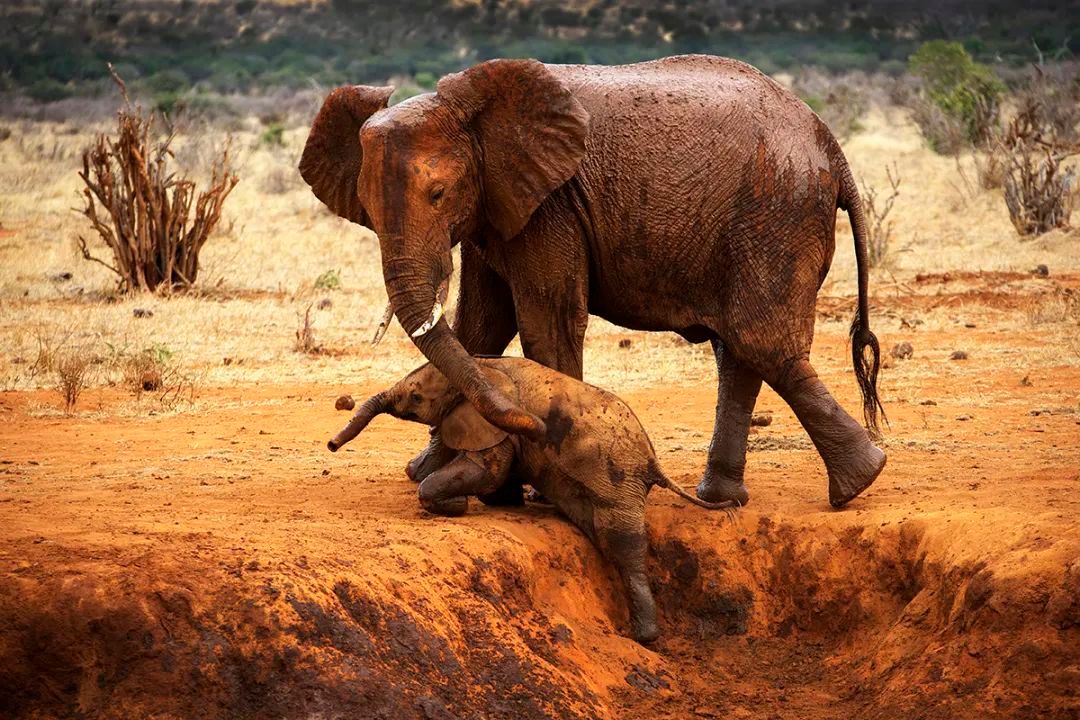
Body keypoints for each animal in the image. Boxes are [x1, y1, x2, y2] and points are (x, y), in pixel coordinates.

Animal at [298, 55, 885, 507]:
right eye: (366, 209)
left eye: (438, 195)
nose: (331, 446)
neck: (476, 110)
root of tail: (830, 144)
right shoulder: (496, 204)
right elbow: (481, 328)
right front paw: (425, 471)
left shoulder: (550, 206)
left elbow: (545, 326)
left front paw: (538, 479)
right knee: (740, 352)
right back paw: (726, 499)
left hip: (776, 214)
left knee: (759, 342)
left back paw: (858, 483)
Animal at [328, 358, 734, 643]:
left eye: (415, 396)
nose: (331, 444)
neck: (482, 364)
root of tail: (653, 461)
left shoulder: (493, 424)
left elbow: (485, 471)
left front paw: (457, 505)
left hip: (618, 479)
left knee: (622, 543)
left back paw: (644, 635)